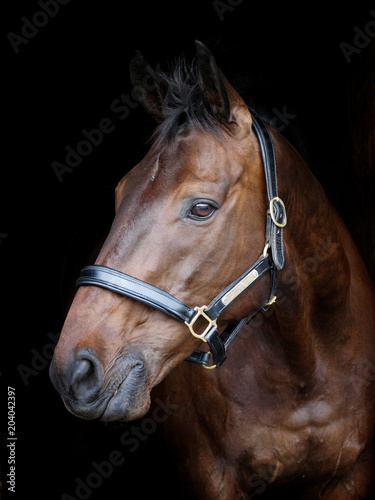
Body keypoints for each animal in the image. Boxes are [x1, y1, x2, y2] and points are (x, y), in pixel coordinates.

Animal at [50, 41, 375, 498]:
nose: (74, 369)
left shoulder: (351, 475)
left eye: (202, 208)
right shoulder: (213, 479)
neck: (307, 365)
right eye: (119, 193)